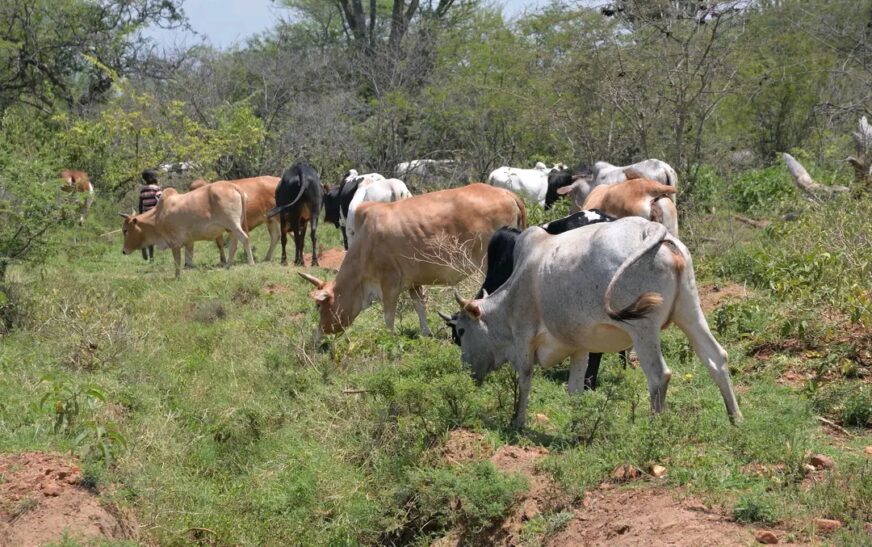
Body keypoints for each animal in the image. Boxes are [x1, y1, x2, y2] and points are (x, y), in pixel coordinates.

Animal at [119, 181, 254, 278]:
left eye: (125, 230)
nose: (124, 251)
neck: (158, 216)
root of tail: (233, 186)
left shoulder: (174, 243)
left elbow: (177, 262)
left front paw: (177, 277)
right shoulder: (189, 241)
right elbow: (188, 259)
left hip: (233, 223)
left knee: (245, 238)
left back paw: (251, 263)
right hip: (232, 227)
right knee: (234, 245)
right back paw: (228, 266)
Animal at [298, 183, 527, 338]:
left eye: (319, 306)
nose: (318, 333)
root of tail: (506, 193)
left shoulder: (389, 284)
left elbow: (388, 316)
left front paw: (389, 338)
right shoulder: (413, 283)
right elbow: (420, 307)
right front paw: (426, 333)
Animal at [452, 217, 742, 429]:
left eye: (462, 331)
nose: (467, 371)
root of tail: (650, 228)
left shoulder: (524, 336)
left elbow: (524, 381)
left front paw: (518, 423)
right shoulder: (579, 346)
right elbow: (575, 390)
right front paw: (577, 425)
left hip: (643, 328)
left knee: (659, 375)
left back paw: (654, 428)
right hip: (690, 312)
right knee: (717, 357)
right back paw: (735, 418)